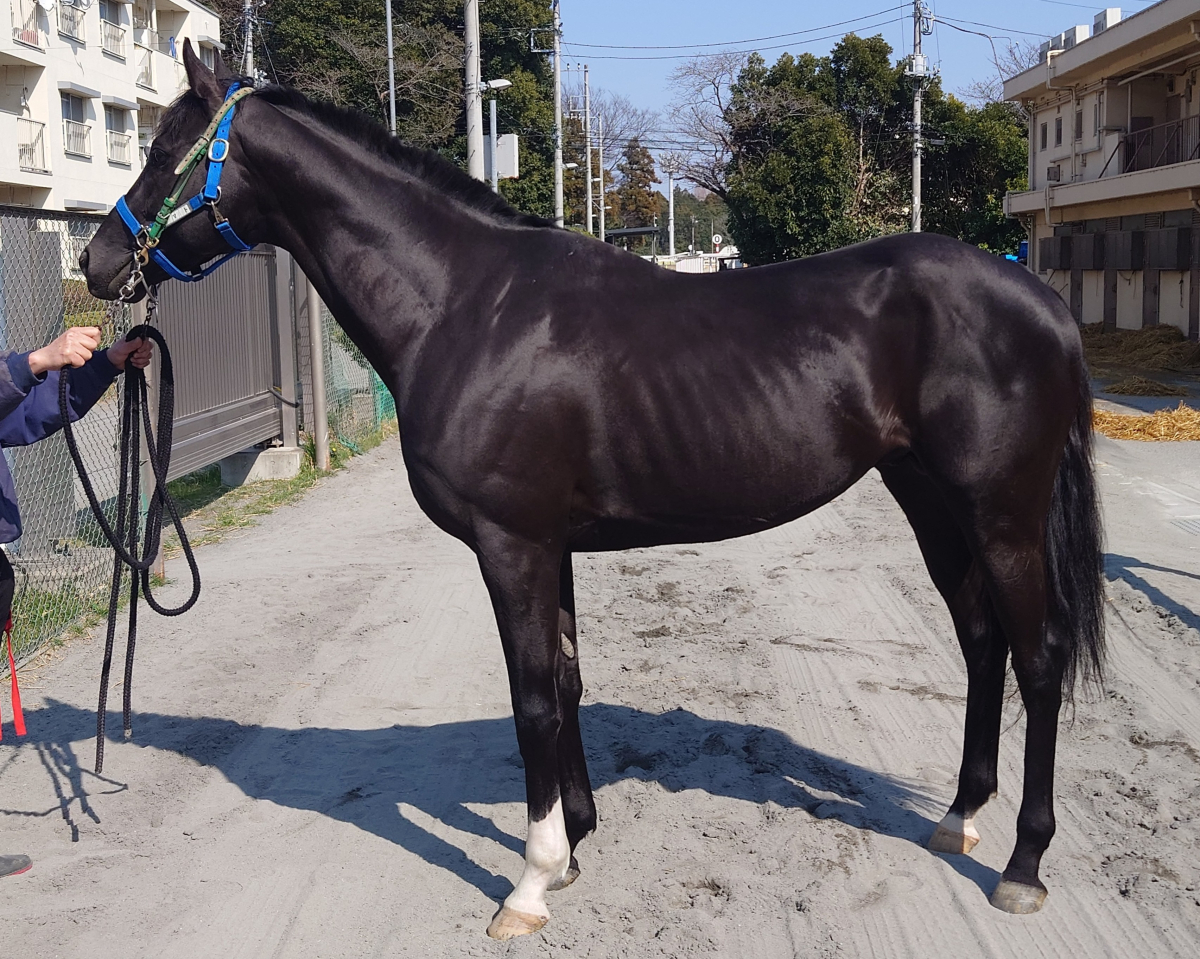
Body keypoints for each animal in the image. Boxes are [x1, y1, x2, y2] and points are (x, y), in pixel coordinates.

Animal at [80, 43, 1104, 940]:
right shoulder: (554, 544)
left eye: (165, 150)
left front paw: (531, 882)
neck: (464, 303)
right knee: (981, 641)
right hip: (931, 501)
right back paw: (958, 816)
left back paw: (1022, 865)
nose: (97, 264)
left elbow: (533, 696)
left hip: (1001, 515)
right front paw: (574, 844)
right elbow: (568, 681)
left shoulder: (513, 544)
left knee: (1038, 653)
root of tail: (1044, 302)